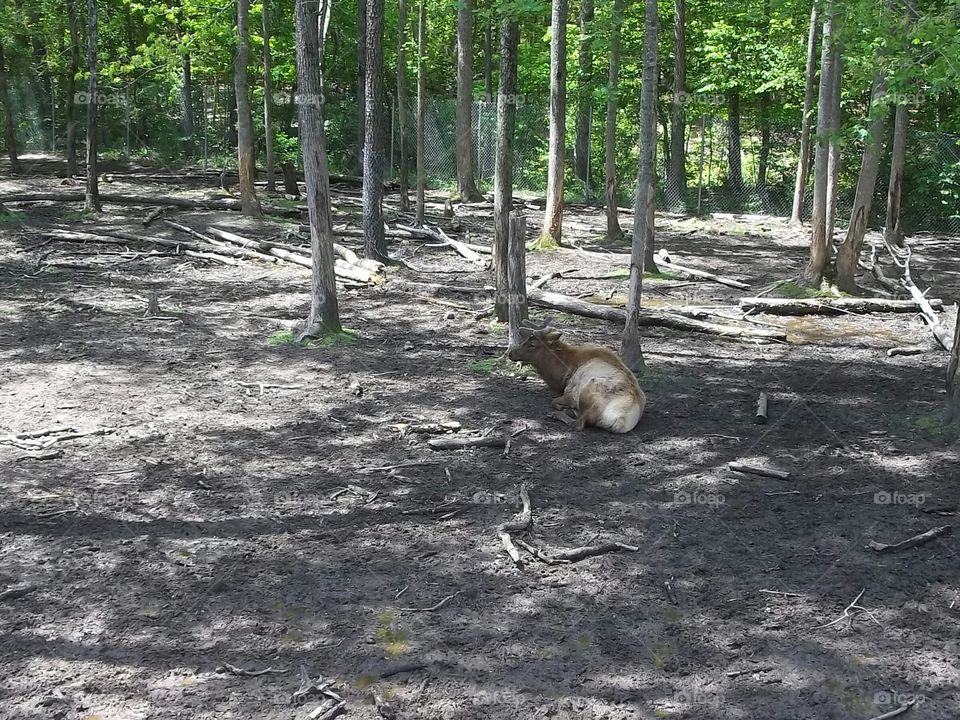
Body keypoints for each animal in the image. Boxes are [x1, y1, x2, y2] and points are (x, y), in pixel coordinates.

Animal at [507, 322, 646, 433]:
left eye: (532, 344)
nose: (510, 353)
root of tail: (622, 421)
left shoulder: (570, 392)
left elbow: (553, 402)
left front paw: (562, 408)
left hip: (589, 389)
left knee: (578, 424)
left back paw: (560, 413)